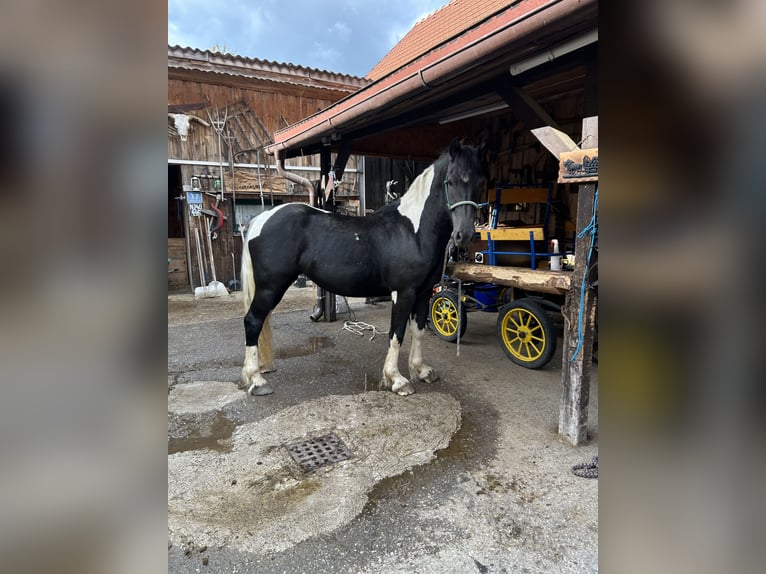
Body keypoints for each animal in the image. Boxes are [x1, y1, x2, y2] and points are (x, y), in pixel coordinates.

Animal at [241, 138, 487, 396]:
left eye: (481, 182)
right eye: (451, 181)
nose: (464, 235)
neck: (414, 231)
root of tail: (262, 218)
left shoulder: (424, 292)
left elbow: (418, 331)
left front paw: (421, 370)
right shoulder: (403, 292)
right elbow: (396, 334)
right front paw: (397, 379)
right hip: (271, 286)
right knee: (253, 321)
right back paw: (257, 380)